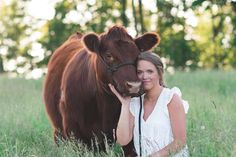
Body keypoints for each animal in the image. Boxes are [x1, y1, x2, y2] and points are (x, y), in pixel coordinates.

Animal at [43, 25, 159, 156]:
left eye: (137, 55)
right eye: (109, 55)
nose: (134, 85)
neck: (105, 103)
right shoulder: (74, 132)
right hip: (58, 131)